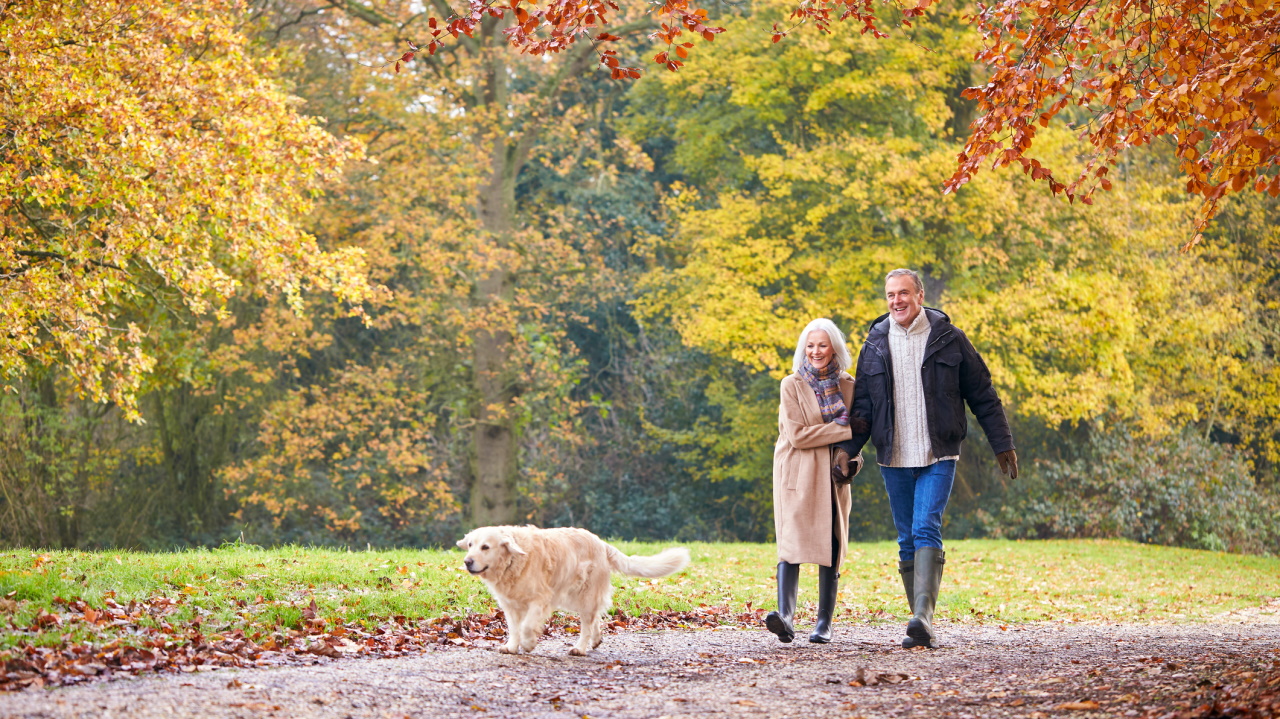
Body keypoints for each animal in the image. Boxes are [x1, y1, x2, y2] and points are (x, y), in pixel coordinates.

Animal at [458, 524, 691, 652]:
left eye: (485, 547)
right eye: (470, 545)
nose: (467, 561)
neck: (513, 562)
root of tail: (601, 542)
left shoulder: (540, 600)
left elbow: (526, 626)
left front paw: (529, 643)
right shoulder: (510, 604)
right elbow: (515, 628)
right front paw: (512, 646)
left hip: (584, 596)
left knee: (587, 625)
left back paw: (580, 648)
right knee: (595, 619)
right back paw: (596, 640)